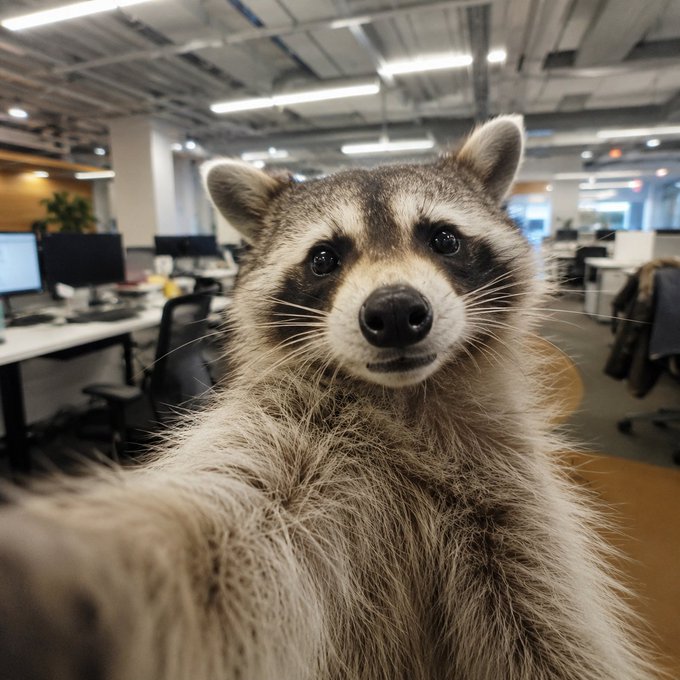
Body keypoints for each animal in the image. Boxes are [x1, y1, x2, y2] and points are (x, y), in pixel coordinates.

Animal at [0, 116, 658, 680]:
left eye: (444, 239)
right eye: (324, 257)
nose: (394, 313)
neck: (403, 400)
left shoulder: (514, 506)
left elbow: (553, 621)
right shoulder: (287, 443)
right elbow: (222, 532)